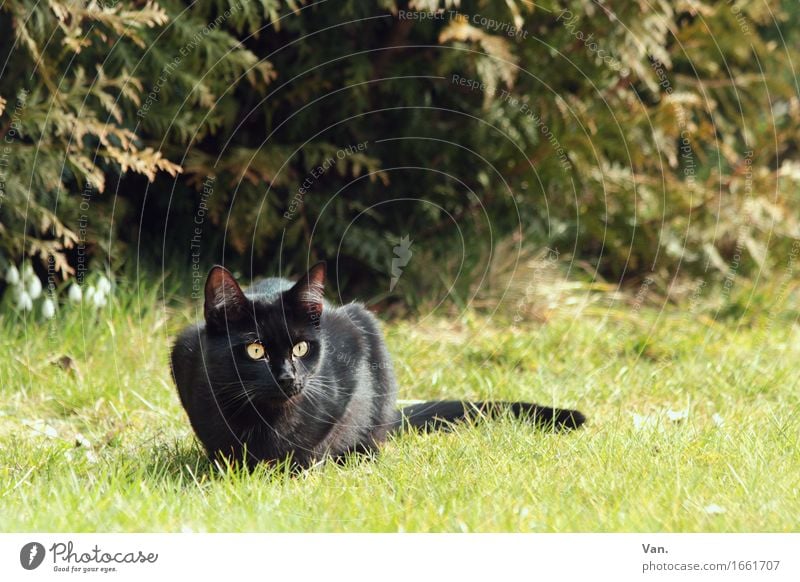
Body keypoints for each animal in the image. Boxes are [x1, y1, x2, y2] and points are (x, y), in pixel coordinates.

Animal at [172, 264, 584, 470]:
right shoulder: (185, 353)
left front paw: (298, 467)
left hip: (372, 337)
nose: (288, 377)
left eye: (301, 347)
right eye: (255, 350)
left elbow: (318, 440)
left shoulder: (351, 353)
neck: (267, 420)